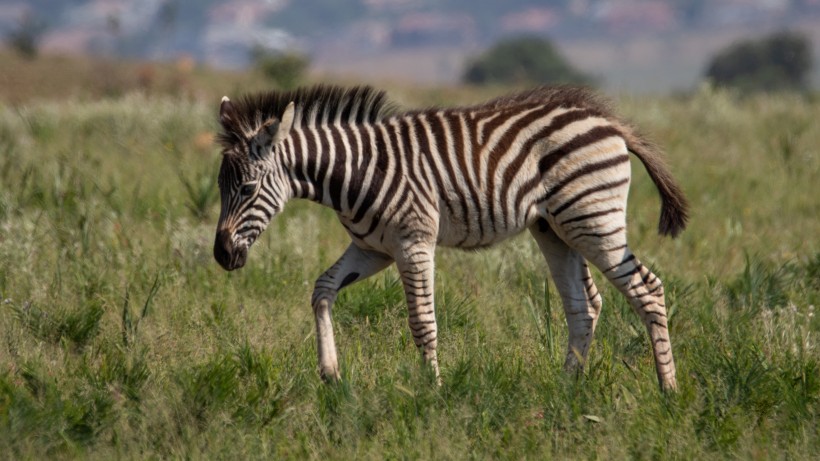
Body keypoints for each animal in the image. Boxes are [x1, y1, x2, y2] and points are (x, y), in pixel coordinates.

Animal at [210, 84, 684, 390]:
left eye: (247, 189)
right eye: (218, 187)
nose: (221, 255)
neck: (354, 172)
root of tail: (609, 121)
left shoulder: (412, 241)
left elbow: (422, 321)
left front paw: (432, 391)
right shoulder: (372, 249)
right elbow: (322, 288)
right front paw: (330, 373)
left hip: (592, 218)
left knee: (648, 289)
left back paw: (668, 390)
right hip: (555, 228)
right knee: (584, 306)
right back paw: (567, 389)